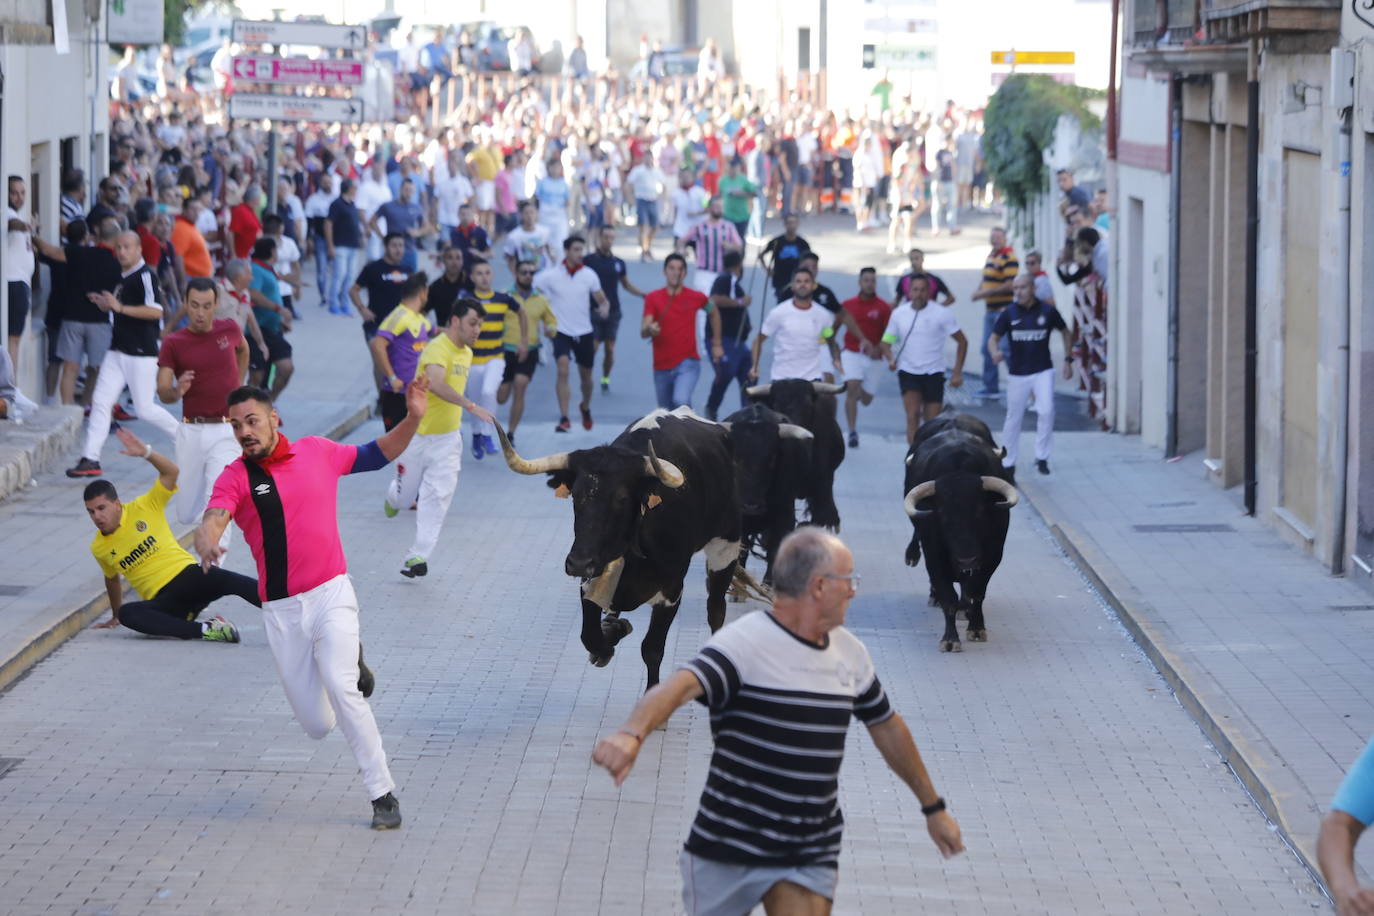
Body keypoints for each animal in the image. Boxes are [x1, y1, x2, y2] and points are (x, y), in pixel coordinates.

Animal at [494, 409, 752, 686]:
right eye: (576, 496)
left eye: (621, 499)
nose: (578, 563)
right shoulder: (592, 579)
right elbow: (589, 635)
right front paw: (611, 636)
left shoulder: (672, 591)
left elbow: (652, 649)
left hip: (726, 547)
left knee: (716, 609)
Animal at [901, 411, 1022, 656]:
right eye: (942, 515)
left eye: (980, 512)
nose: (967, 559)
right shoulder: (934, 556)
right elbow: (948, 596)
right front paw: (949, 639)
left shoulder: (992, 556)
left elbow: (977, 591)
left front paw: (976, 627)